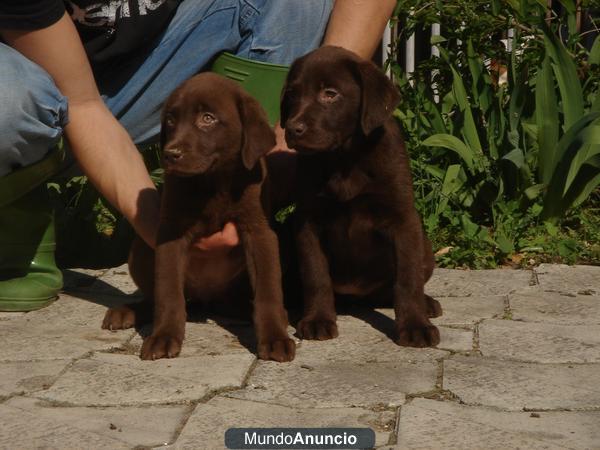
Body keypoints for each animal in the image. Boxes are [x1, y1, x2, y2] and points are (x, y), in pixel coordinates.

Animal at [102, 73, 296, 362]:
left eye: (208, 118)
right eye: (171, 120)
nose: (170, 154)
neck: (213, 182)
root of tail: (207, 300)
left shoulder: (260, 232)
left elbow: (268, 291)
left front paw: (274, 337)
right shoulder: (170, 234)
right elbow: (168, 293)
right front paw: (163, 337)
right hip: (140, 251)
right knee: (158, 298)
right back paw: (127, 312)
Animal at [282, 46, 440, 348]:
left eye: (330, 93)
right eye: (293, 94)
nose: (292, 129)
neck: (345, 160)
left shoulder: (403, 219)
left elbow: (408, 278)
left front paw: (415, 325)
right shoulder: (307, 221)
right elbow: (316, 275)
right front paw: (318, 319)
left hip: (425, 246)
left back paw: (426, 304)